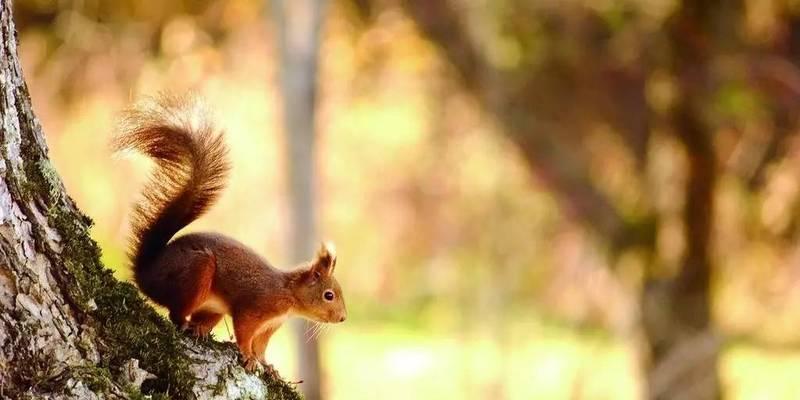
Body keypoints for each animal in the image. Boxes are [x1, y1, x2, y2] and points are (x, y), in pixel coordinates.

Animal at [113, 95, 346, 374]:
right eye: (328, 295)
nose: (343, 318)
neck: (288, 294)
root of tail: (146, 274)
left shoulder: (270, 326)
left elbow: (262, 346)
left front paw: (267, 365)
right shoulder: (255, 308)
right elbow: (245, 333)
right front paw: (247, 357)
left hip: (213, 307)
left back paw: (200, 328)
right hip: (196, 271)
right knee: (175, 312)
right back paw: (185, 323)